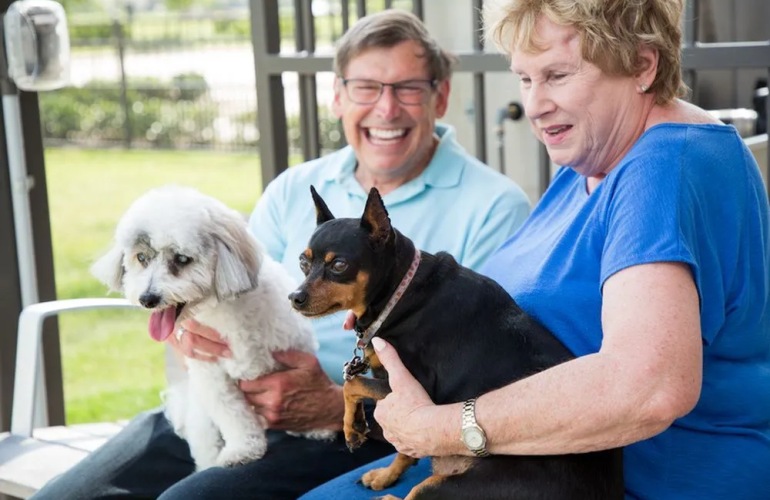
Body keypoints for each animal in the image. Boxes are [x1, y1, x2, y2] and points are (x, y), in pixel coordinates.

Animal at [90, 186, 332, 470]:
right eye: (141, 258)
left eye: (182, 258)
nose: (148, 298)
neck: (226, 311)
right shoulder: (213, 376)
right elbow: (233, 415)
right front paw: (242, 449)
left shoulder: (295, 353)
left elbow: (306, 393)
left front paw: (315, 426)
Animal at [288, 188, 624, 500]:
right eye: (303, 262)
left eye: (339, 265)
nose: (295, 297)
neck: (399, 294)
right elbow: (406, 443)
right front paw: (385, 472)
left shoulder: (412, 391)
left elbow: (352, 384)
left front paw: (352, 428)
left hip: (445, 487)